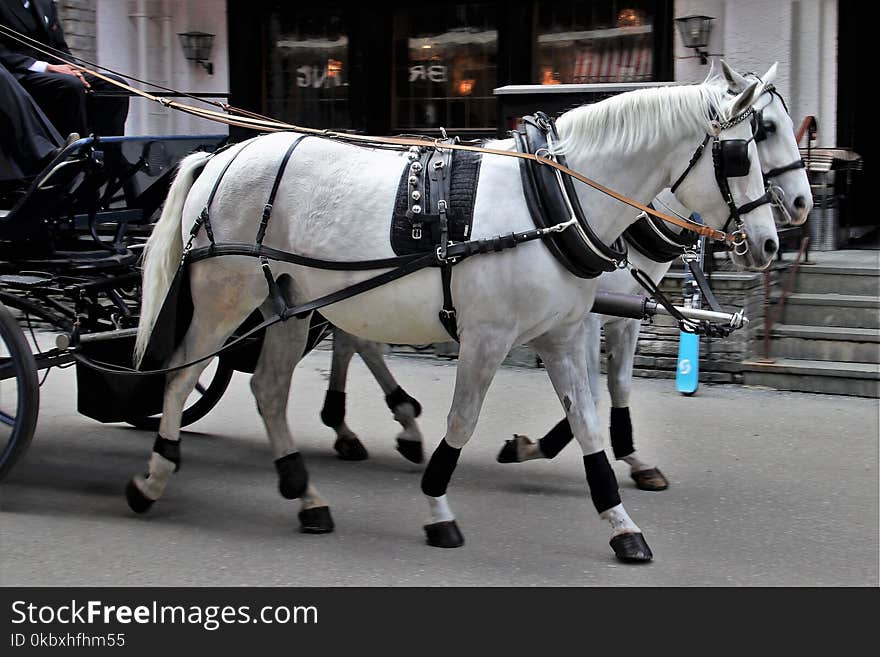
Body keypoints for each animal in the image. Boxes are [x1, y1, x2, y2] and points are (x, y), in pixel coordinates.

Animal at [127, 75, 772, 560]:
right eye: (741, 153)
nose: (770, 241)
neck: (550, 199)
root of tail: (222, 156)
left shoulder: (562, 334)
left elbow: (588, 421)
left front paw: (621, 524)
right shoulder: (487, 337)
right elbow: (462, 422)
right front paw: (438, 507)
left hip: (287, 304)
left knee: (269, 388)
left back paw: (305, 493)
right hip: (224, 299)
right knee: (181, 375)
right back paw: (154, 477)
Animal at [498, 62, 816, 492]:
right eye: (765, 128)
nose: (802, 204)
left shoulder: (628, 311)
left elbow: (618, 383)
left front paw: (633, 458)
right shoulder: (586, 317)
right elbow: (589, 390)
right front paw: (537, 446)